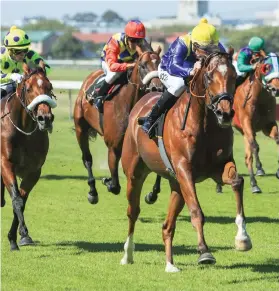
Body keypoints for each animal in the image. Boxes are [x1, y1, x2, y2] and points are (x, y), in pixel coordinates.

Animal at [0, 64, 57, 251]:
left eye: (49, 86)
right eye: (28, 88)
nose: (45, 118)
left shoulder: (33, 171)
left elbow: (21, 202)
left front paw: (18, 237)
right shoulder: (5, 164)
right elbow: (17, 199)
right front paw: (22, 232)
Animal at [73, 45, 163, 205]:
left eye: (160, 64)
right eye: (142, 65)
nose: (157, 88)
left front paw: (152, 194)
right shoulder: (114, 146)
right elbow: (115, 185)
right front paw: (108, 181)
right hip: (80, 128)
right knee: (87, 159)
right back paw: (92, 191)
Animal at [121, 50, 253, 274]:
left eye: (234, 76)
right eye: (209, 76)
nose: (225, 113)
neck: (205, 123)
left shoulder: (217, 167)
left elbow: (237, 181)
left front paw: (242, 238)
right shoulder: (185, 170)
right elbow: (196, 211)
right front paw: (204, 252)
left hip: (176, 185)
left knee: (167, 225)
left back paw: (170, 264)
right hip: (135, 173)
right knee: (133, 212)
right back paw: (127, 254)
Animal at [219, 53, 279, 194]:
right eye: (266, 67)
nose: (276, 89)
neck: (260, 97)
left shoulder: (268, 124)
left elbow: (277, 139)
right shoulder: (247, 123)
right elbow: (255, 147)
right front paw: (260, 169)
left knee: (247, 158)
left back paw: (254, 183)